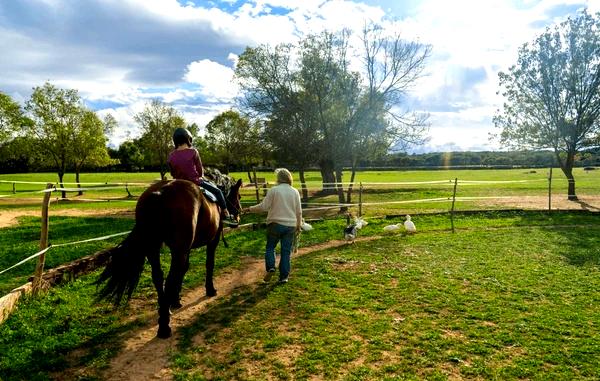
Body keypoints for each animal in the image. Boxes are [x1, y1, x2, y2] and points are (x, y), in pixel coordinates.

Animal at [96, 177, 241, 336]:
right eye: (239, 196)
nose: (238, 216)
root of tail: (160, 193)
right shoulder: (212, 240)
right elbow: (209, 264)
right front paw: (210, 289)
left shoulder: (184, 249)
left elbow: (183, 269)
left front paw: (175, 300)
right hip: (178, 249)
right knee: (170, 278)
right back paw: (164, 325)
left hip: (154, 248)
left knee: (158, 277)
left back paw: (164, 310)